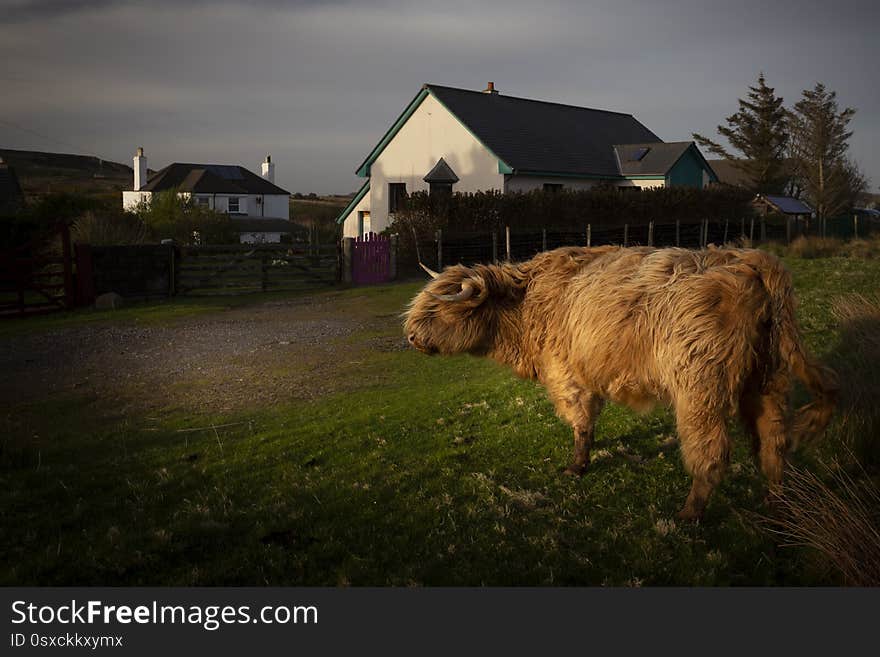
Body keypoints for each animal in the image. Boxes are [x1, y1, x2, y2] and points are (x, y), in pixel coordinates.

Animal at [402, 246, 836, 516]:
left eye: (438, 310)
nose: (409, 337)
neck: (524, 305)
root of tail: (750, 258)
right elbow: (589, 423)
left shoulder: (567, 375)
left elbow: (580, 422)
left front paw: (576, 467)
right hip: (768, 379)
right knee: (774, 442)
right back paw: (776, 501)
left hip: (700, 387)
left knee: (711, 452)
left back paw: (689, 512)